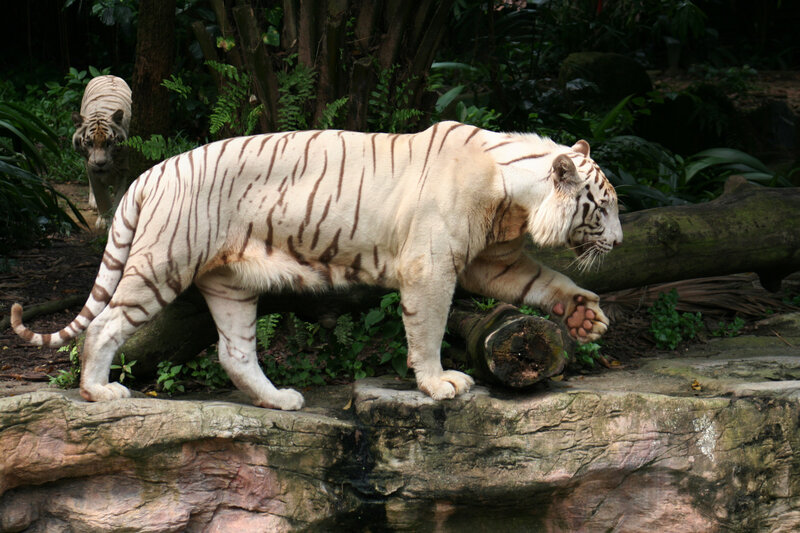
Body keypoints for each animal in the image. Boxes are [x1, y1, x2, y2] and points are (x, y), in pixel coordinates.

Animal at [11, 121, 622, 411]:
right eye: (604, 205)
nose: (617, 243)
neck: (513, 200)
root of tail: (149, 173)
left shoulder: (491, 261)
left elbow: (545, 279)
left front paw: (585, 316)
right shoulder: (432, 266)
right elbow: (428, 329)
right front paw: (437, 384)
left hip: (230, 285)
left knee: (234, 353)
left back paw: (279, 400)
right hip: (162, 263)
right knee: (105, 325)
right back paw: (99, 393)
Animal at [71, 75, 132, 230]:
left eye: (109, 143)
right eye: (89, 143)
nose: (100, 164)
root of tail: (108, 75)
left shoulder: (125, 169)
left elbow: (121, 195)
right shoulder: (92, 169)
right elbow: (101, 196)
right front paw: (104, 221)